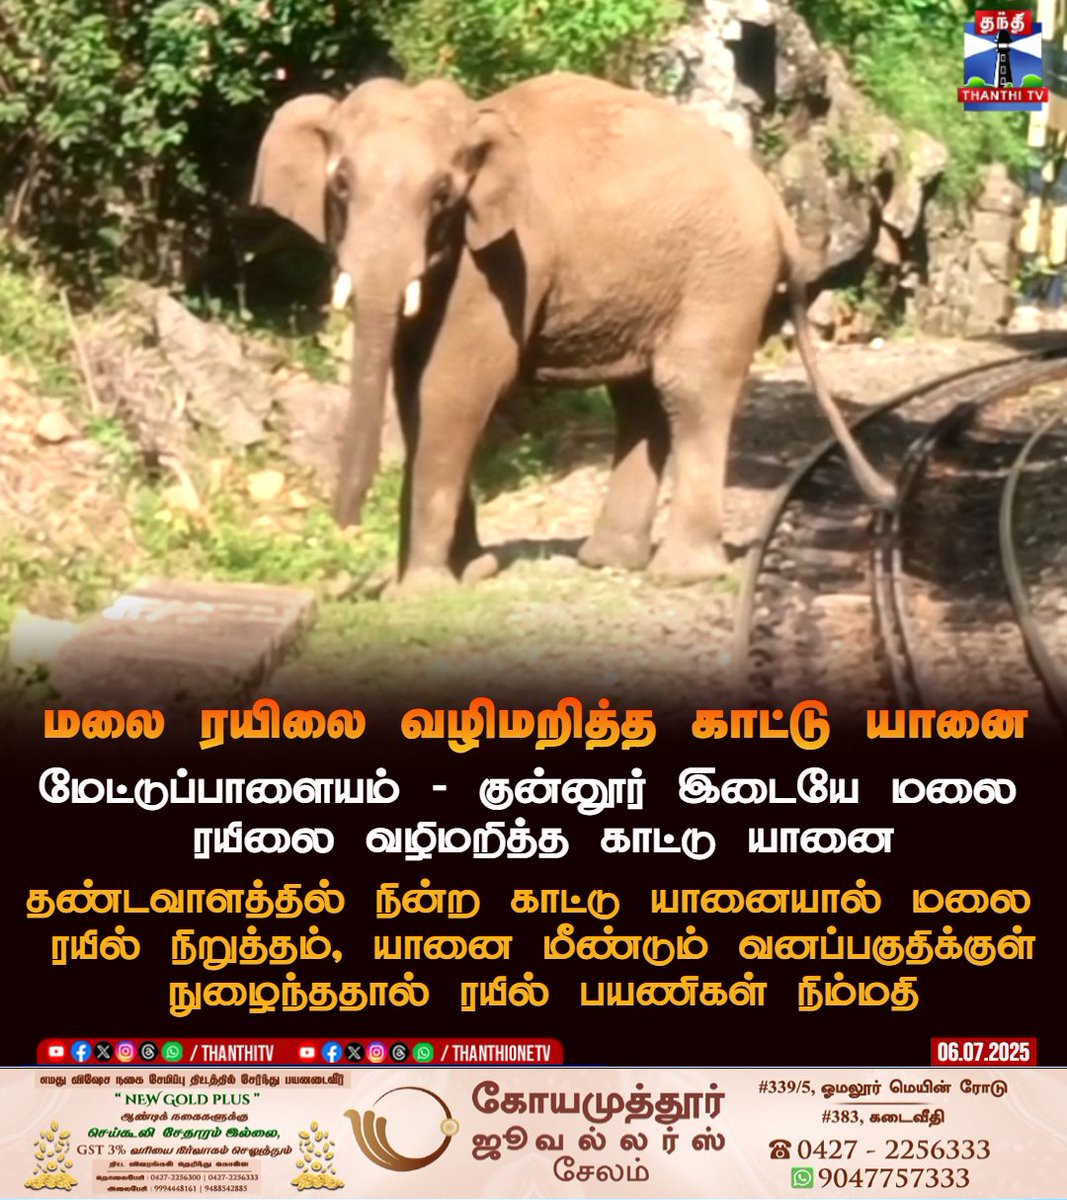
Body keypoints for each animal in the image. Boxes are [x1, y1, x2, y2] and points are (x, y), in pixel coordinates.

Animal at [250, 71, 892, 591]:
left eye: (442, 195)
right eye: (339, 185)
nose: (346, 530)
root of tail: (780, 211)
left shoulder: (503, 262)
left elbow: (452, 390)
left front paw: (423, 591)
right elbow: (412, 391)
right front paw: (470, 572)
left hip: (725, 275)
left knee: (689, 389)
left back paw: (679, 574)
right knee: (639, 399)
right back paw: (607, 560)